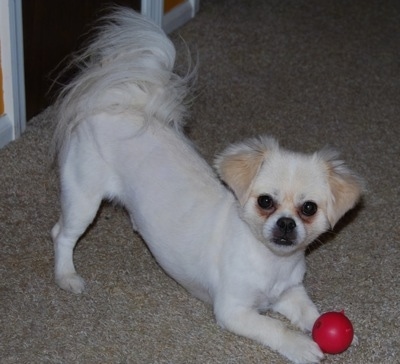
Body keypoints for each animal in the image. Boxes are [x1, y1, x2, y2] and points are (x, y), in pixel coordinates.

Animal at [50, 9, 362, 364]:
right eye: (265, 202)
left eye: (308, 208)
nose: (285, 223)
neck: (272, 263)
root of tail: (115, 103)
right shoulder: (234, 311)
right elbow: (275, 328)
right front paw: (301, 346)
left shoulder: (290, 293)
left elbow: (311, 313)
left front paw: (327, 328)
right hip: (83, 200)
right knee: (61, 235)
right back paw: (67, 277)